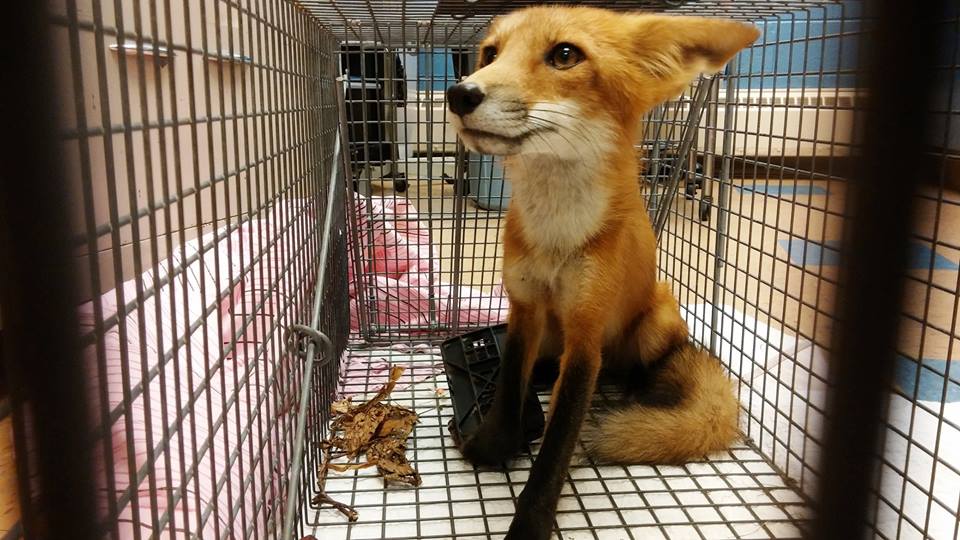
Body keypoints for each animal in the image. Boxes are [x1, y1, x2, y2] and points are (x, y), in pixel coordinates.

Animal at [444, 6, 760, 539]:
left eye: (564, 54)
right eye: (490, 53)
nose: (459, 93)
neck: (555, 238)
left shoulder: (586, 337)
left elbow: (555, 449)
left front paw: (531, 522)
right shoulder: (523, 308)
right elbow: (507, 386)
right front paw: (493, 444)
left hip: (656, 320)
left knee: (644, 367)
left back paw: (638, 392)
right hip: (552, 332)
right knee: (542, 366)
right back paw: (541, 376)